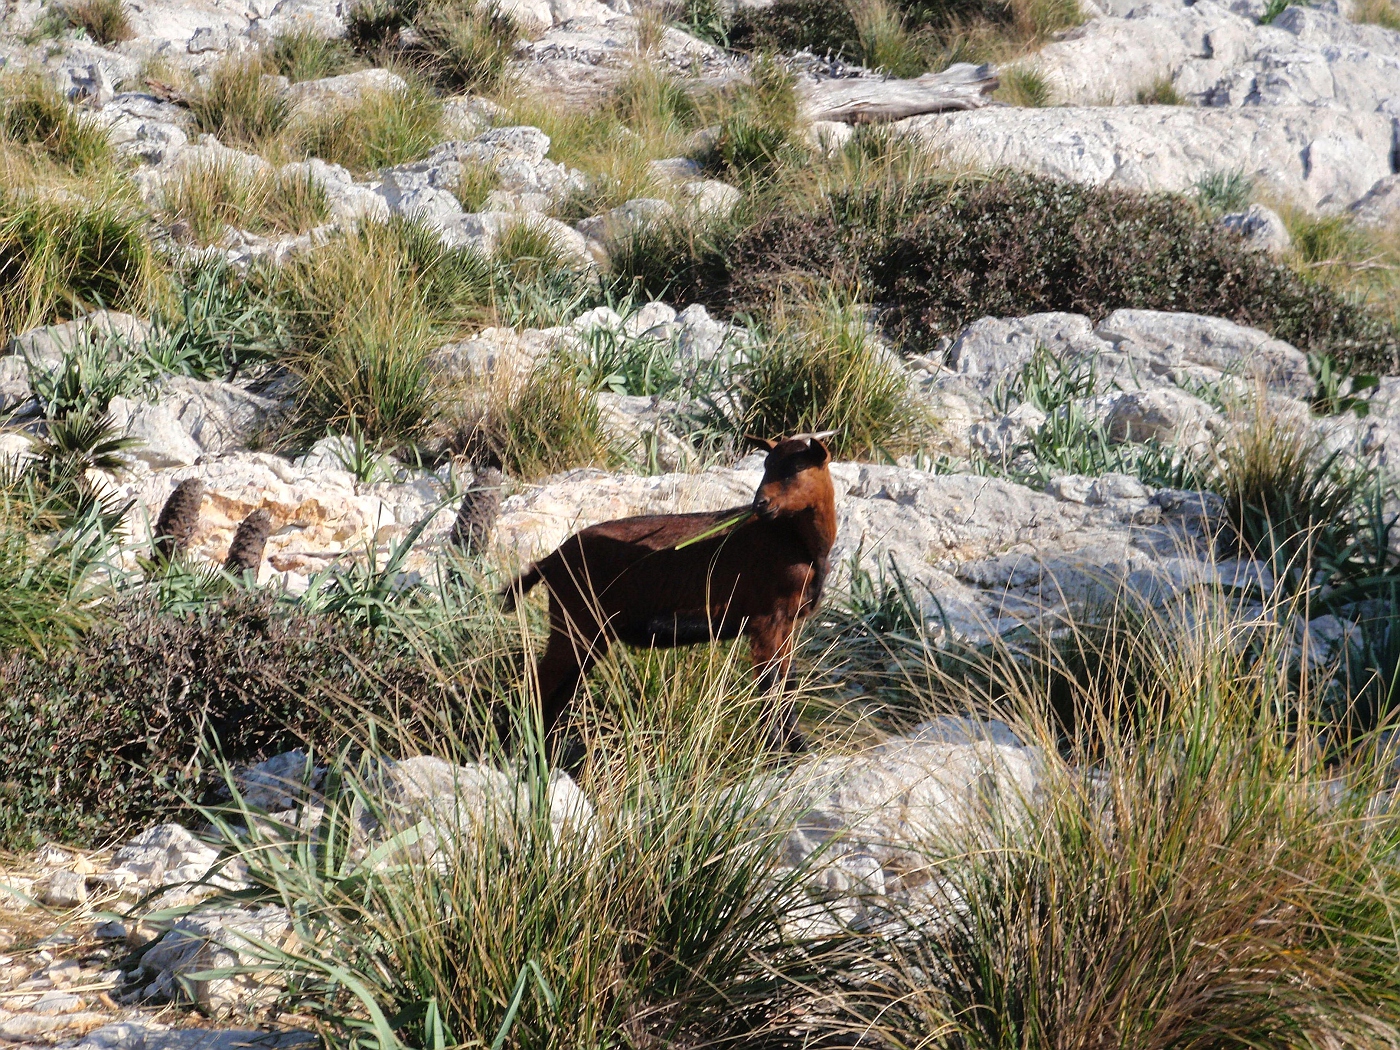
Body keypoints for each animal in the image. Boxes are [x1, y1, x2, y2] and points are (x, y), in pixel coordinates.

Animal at [501, 436, 834, 756]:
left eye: (797, 467)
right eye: (766, 464)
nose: (760, 504)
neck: (795, 542)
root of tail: (550, 561)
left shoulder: (786, 622)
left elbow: (786, 683)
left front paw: (797, 749)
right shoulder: (766, 620)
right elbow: (771, 685)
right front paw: (779, 753)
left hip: (590, 634)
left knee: (558, 692)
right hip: (575, 623)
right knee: (539, 684)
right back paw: (512, 746)